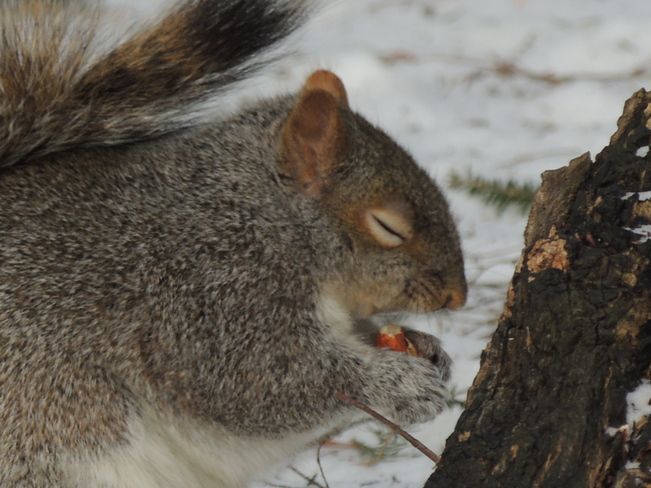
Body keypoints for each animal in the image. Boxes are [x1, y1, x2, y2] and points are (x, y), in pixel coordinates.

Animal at [0, 0, 468, 488]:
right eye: (388, 227)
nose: (458, 296)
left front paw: (429, 349)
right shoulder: (212, 294)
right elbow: (262, 383)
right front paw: (399, 385)